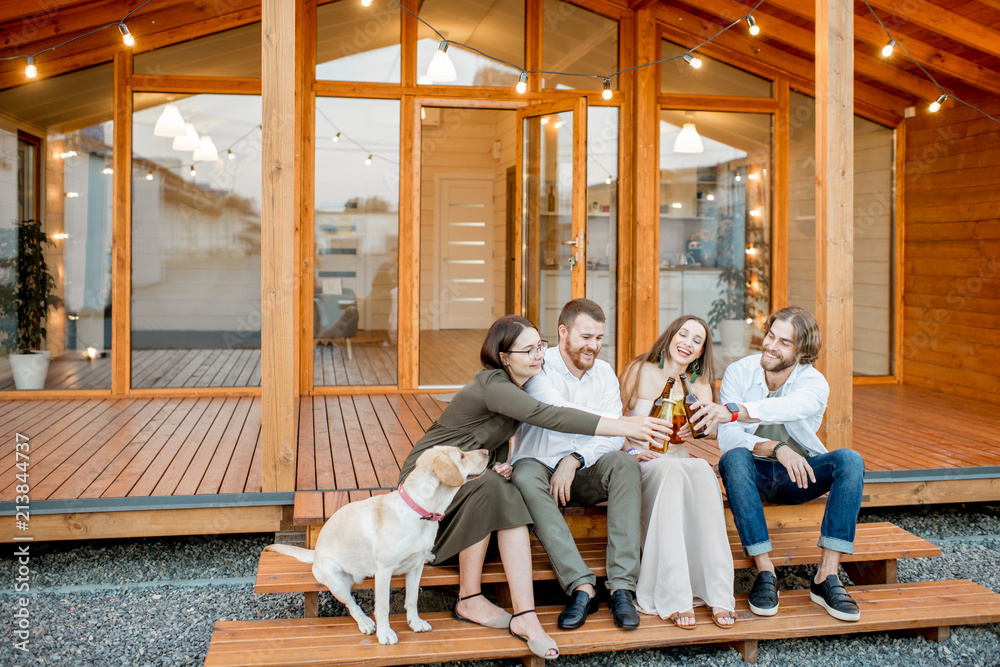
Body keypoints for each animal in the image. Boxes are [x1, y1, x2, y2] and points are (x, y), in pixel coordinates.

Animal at [264, 446, 486, 644]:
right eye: (461, 455)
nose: (486, 452)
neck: (419, 511)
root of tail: (316, 552)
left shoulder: (416, 567)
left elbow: (412, 598)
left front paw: (414, 623)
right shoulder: (384, 571)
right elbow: (383, 607)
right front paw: (385, 634)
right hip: (335, 580)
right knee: (352, 604)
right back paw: (365, 622)